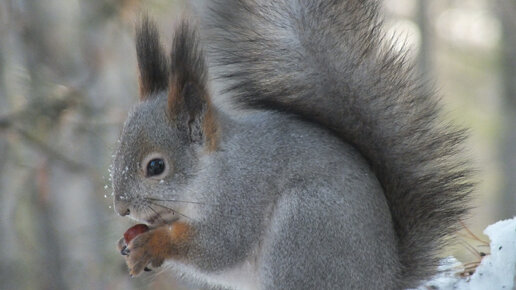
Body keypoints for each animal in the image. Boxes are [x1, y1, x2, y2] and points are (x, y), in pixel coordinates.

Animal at [112, 1, 472, 288]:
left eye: (156, 166)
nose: (121, 209)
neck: (213, 170)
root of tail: (387, 279)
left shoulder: (241, 195)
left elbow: (219, 247)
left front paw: (152, 244)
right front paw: (129, 242)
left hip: (303, 230)